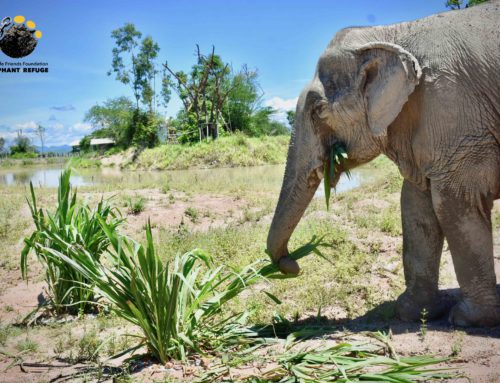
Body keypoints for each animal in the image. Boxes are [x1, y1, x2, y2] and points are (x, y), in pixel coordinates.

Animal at [268, 1, 498, 328]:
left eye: (318, 111)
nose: (293, 265)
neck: (392, 33)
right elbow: (416, 204)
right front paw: (415, 313)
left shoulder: (454, 108)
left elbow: (453, 201)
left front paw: (469, 319)